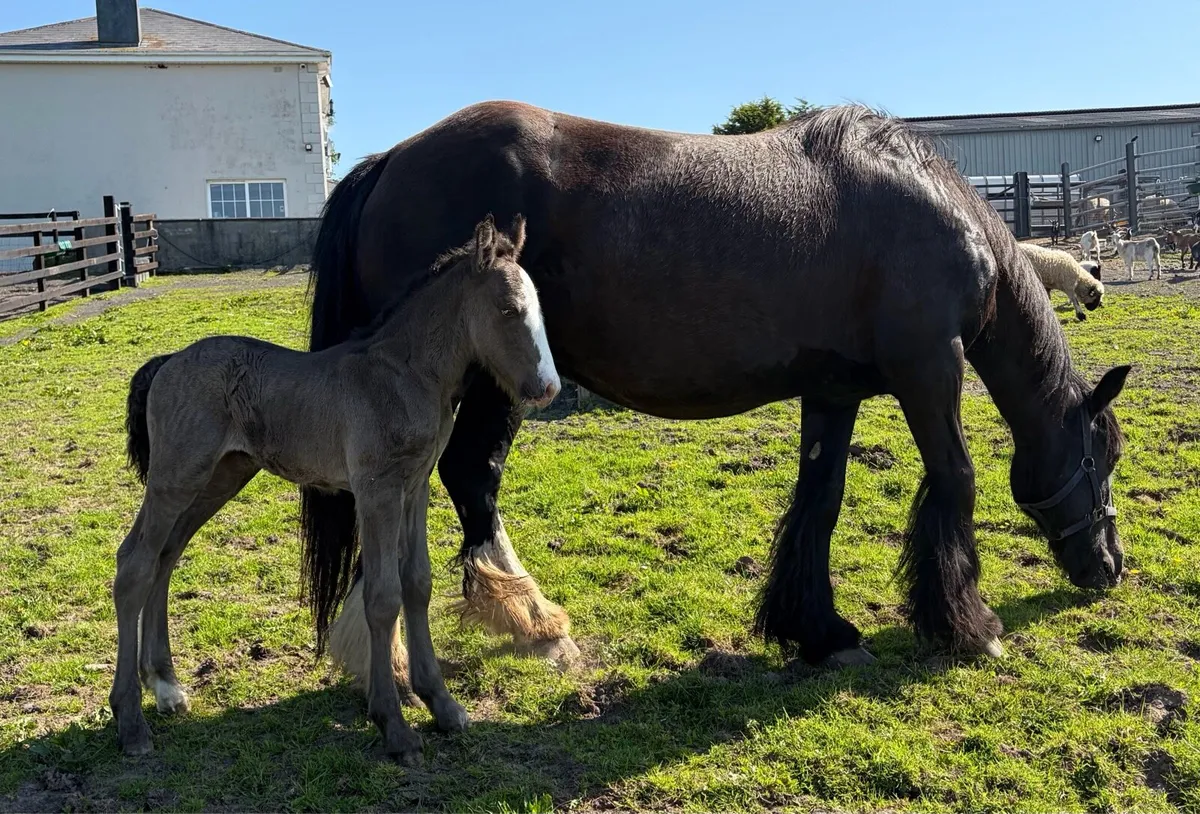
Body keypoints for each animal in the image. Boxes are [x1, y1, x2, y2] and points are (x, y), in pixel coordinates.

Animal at [109, 216, 559, 764]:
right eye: (507, 309)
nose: (548, 388)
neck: (405, 373)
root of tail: (169, 360)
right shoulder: (375, 489)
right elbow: (384, 597)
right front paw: (394, 726)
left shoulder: (414, 487)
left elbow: (418, 583)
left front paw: (443, 705)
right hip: (176, 477)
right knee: (135, 562)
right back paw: (130, 722)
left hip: (221, 476)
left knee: (166, 556)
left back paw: (166, 687)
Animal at [304, 102, 1132, 684]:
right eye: (1105, 455)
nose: (1111, 566)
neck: (930, 206)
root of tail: (392, 161)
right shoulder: (929, 366)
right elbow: (955, 480)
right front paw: (969, 625)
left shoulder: (833, 391)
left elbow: (820, 501)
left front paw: (819, 633)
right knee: (467, 479)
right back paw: (539, 629)